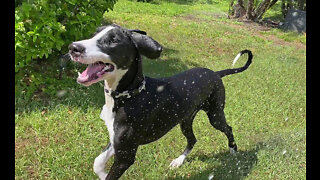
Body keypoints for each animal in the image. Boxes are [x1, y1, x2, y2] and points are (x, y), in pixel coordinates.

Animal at [68, 24, 252, 180]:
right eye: (95, 33)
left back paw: (233, 150)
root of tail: (216, 74)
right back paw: (179, 161)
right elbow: (97, 163)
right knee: (192, 139)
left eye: (113, 40)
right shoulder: (117, 141)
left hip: (215, 115)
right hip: (186, 120)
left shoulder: (126, 156)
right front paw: (103, 173)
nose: (73, 48)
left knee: (228, 128)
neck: (130, 96)